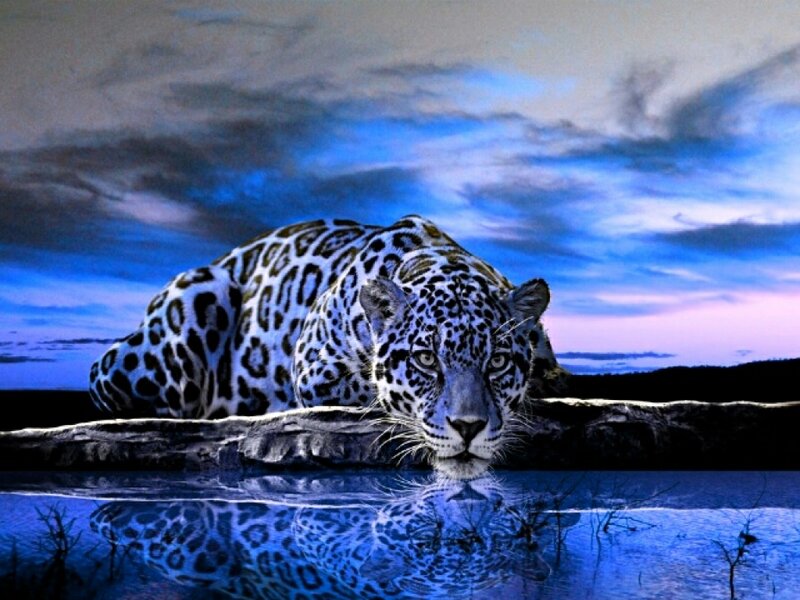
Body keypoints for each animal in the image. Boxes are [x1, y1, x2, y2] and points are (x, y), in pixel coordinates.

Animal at [89, 215, 566, 478]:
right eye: (426, 360)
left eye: (498, 361)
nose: (469, 428)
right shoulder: (315, 370)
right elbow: (373, 391)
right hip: (194, 301)